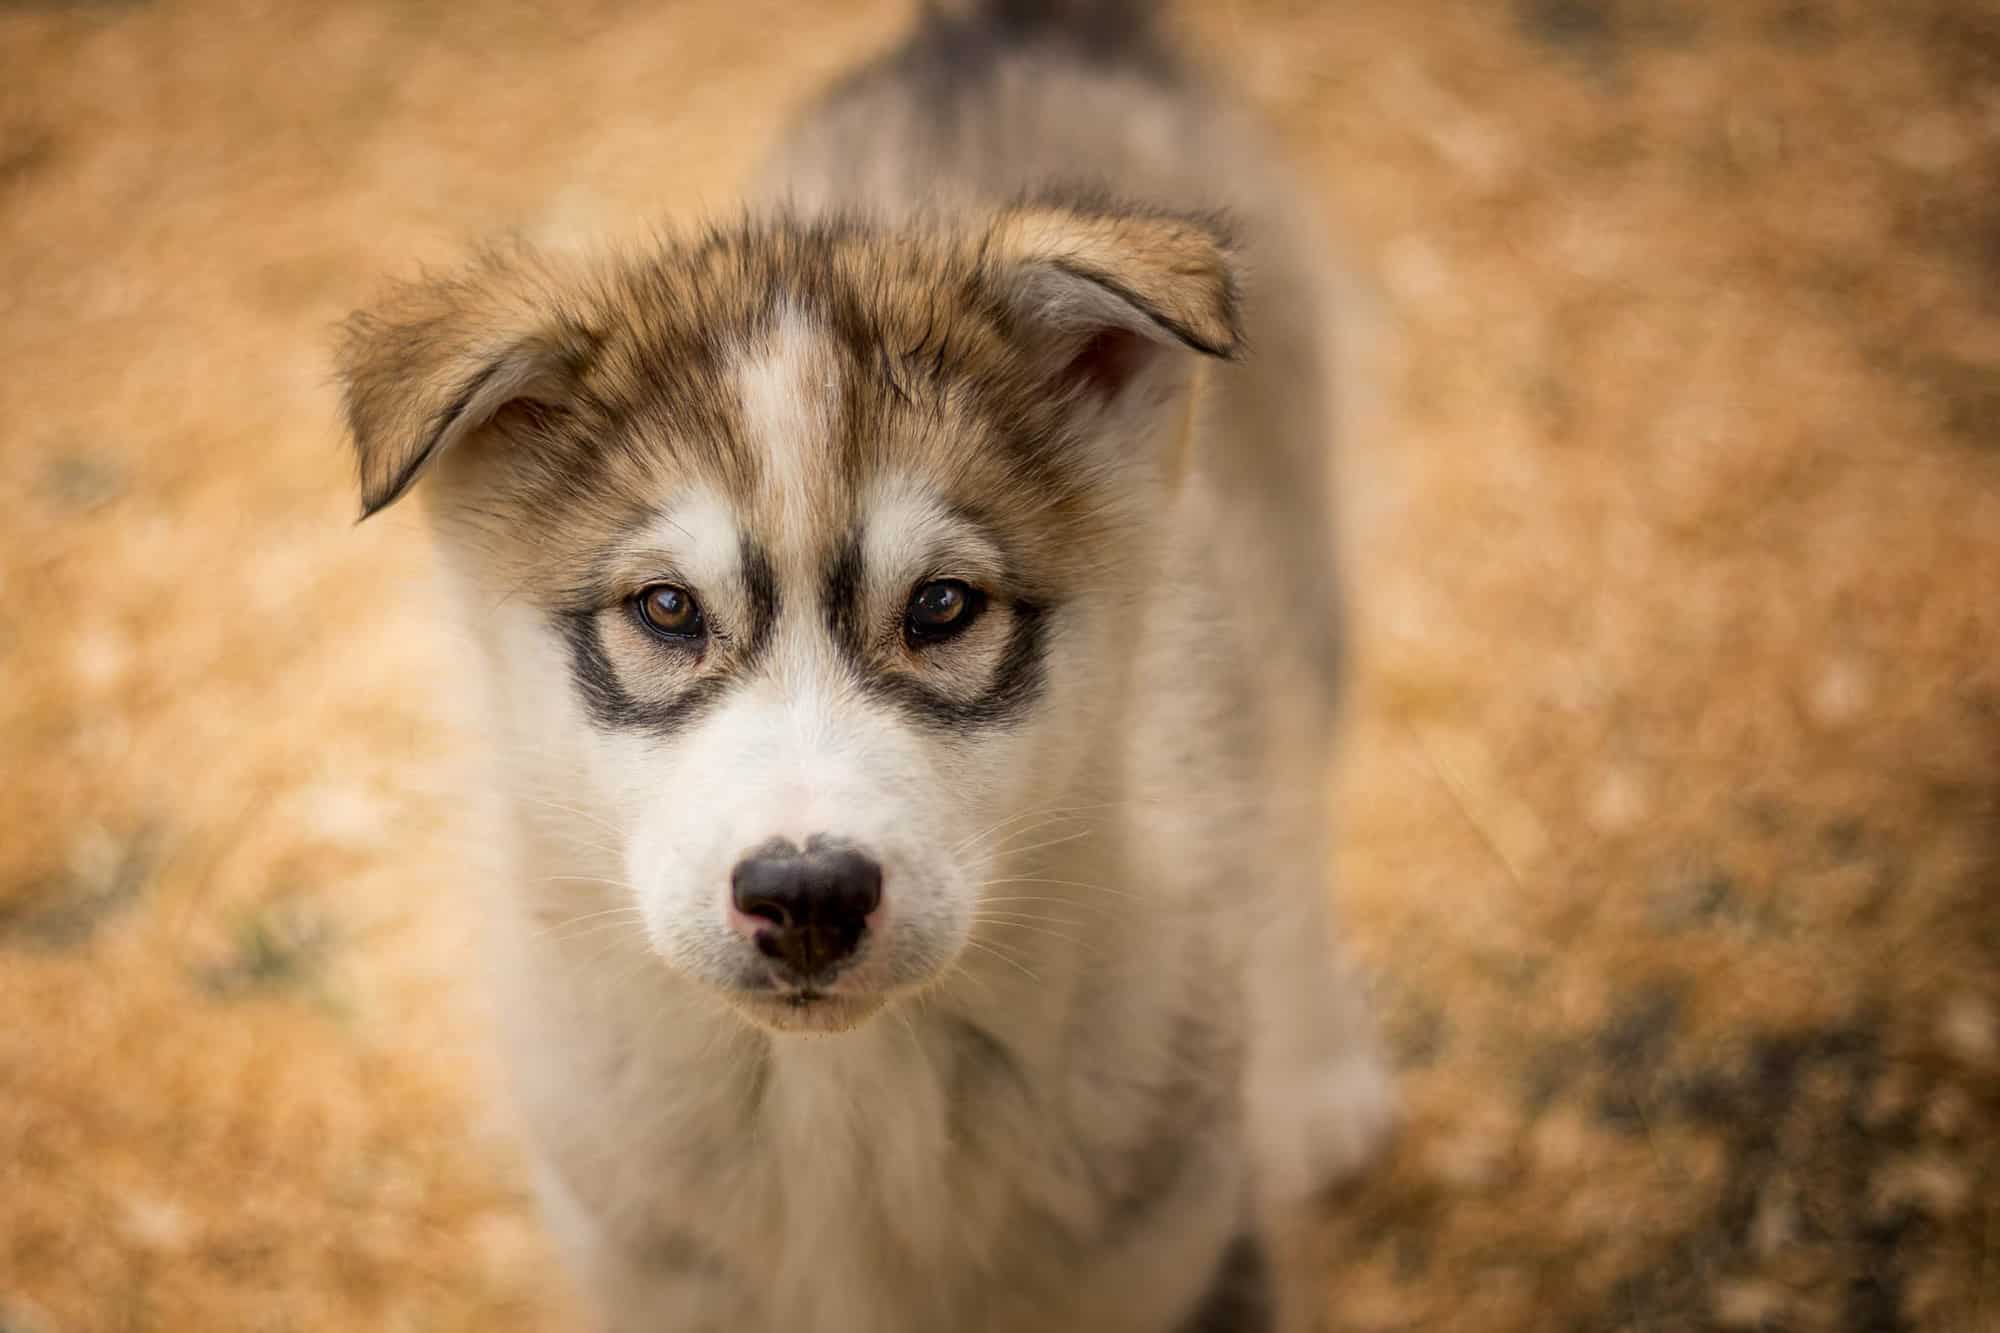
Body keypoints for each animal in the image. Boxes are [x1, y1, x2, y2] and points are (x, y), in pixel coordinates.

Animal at [336, 2, 1392, 1328]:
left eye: (940, 606)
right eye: (667, 609)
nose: (806, 896)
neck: (837, 1085)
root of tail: (998, 31)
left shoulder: (1185, 1260)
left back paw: (1320, 1078)